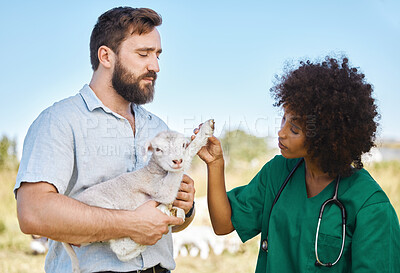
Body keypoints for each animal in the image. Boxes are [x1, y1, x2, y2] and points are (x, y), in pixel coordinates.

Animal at [61, 119, 216, 272]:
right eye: (158, 149)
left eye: (182, 145)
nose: (177, 161)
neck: (154, 171)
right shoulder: (161, 189)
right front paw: (206, 130)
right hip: (103, 213)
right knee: (121, 249)